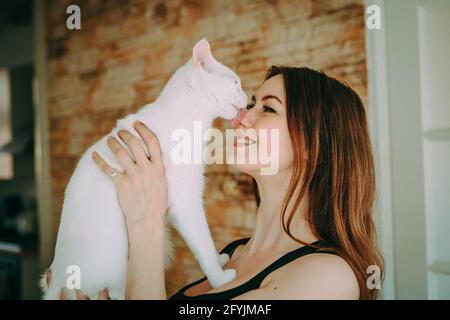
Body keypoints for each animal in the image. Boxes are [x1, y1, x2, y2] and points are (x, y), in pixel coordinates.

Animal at [41, 39, 246, 300]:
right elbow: (203, 242)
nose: (248, 98)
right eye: (236, 82)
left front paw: (220, 261)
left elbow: (202, 242)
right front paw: (219, 278)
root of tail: (56, 282)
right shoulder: (186, 201)